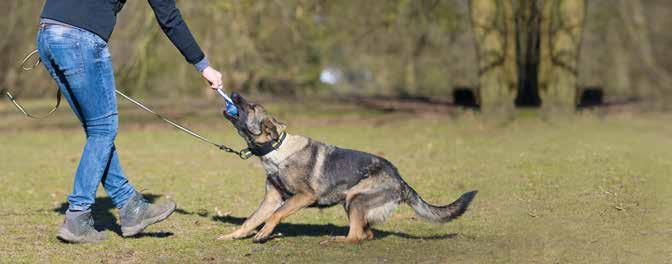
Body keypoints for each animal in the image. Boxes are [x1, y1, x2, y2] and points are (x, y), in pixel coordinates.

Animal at [218, 93, 476, 243]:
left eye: (252, 106)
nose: (234, 93)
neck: (276, 150)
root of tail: (401, 181)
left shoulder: (303, 196)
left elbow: (276, 214)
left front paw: (263, 234)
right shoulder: (271, 198)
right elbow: (250, 220)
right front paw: (233, 235)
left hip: (354, 198)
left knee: (356, 236)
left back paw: (336, 240)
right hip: (352, 202)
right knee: (366, 233)